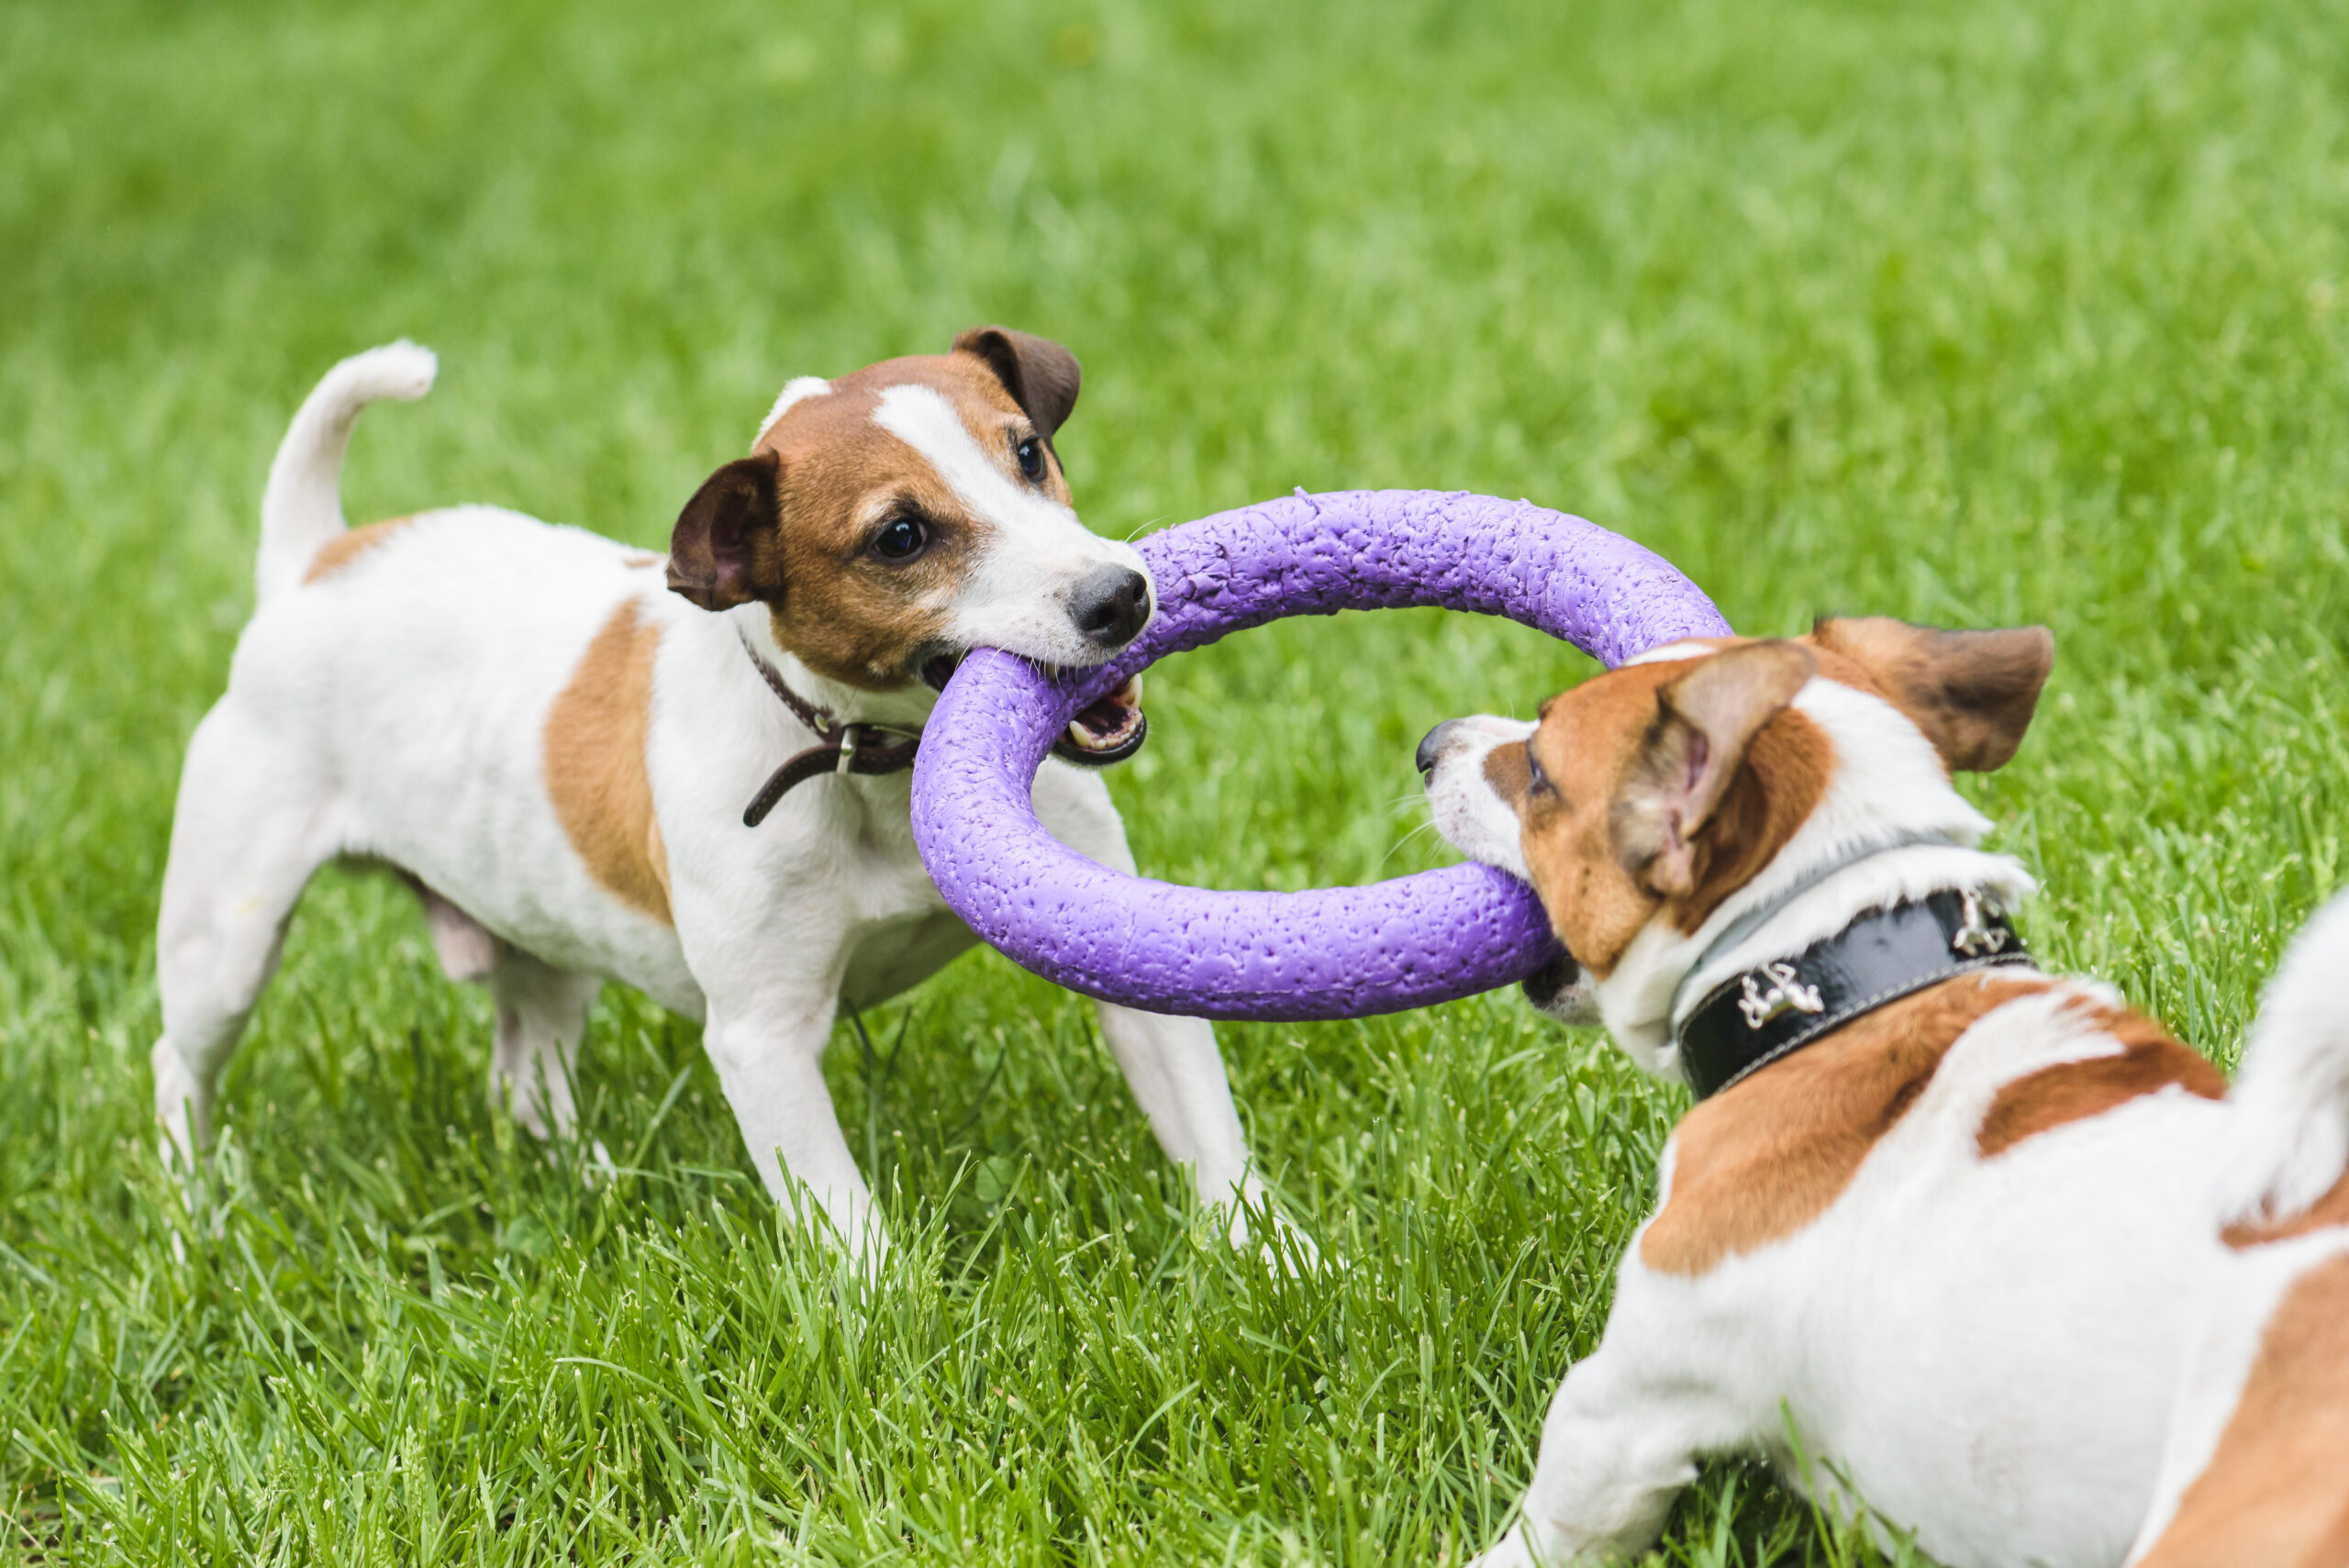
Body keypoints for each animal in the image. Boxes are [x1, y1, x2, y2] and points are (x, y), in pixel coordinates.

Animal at [151, 330, 1286, 1258]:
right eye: (900, 536)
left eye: (1025, 454)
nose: (1120, 596)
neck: (864, 765)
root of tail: (315, 564)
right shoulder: (763, 1038)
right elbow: (843, 1219)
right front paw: (892, 1330)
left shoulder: (1117, 947)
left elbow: (1206, 1125)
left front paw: (1276, 1261)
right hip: (227, 940)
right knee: (180, 1060)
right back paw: (195, 1212)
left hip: (544, 936)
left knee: (526, 1072)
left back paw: (598, 1180)